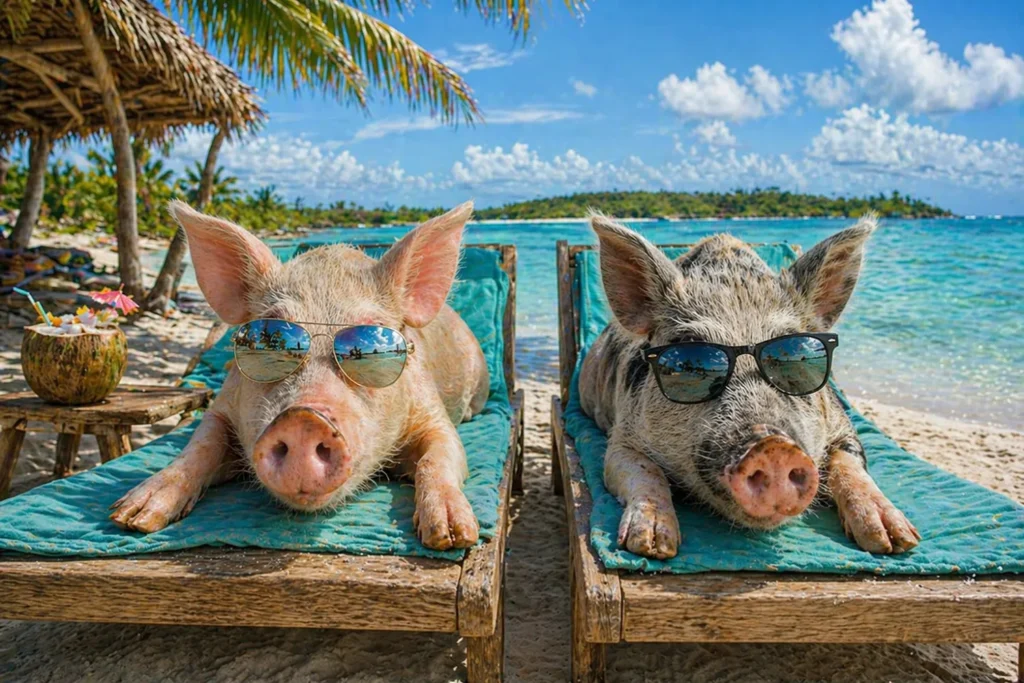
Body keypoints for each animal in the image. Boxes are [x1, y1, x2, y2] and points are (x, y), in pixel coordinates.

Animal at [109, 201, 490, 550]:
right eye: (268, 337)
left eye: (373, 339)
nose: (304, 419)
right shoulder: (222, 406)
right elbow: (199, 446)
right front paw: (130, 517)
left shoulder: (433, 415)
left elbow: (439, 456)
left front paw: (453, 536)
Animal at [579, 214, 920, 559]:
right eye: (688, 361)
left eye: (794, 358)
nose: (773, 446)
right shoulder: (622, 436)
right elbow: (642, 470)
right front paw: (651, 544)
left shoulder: (841, 423)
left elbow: (851, 463)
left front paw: (894, 541)